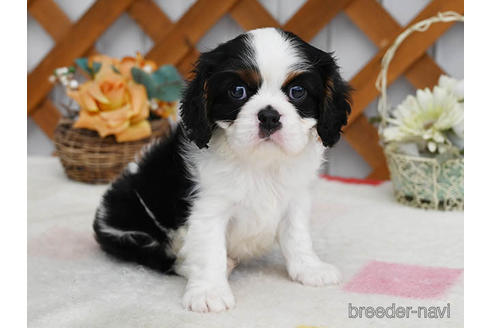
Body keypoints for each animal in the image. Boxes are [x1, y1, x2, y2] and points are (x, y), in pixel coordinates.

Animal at [94, 28, 352, 312]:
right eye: (237, 91)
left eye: (297, 91)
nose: (269, 116)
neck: (260, 163)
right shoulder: (208, 208)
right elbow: (210, 251)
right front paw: (209, 292)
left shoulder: (295, 198)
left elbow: (298, 236)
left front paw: (310, 268)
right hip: (131, 235)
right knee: (164, 257)